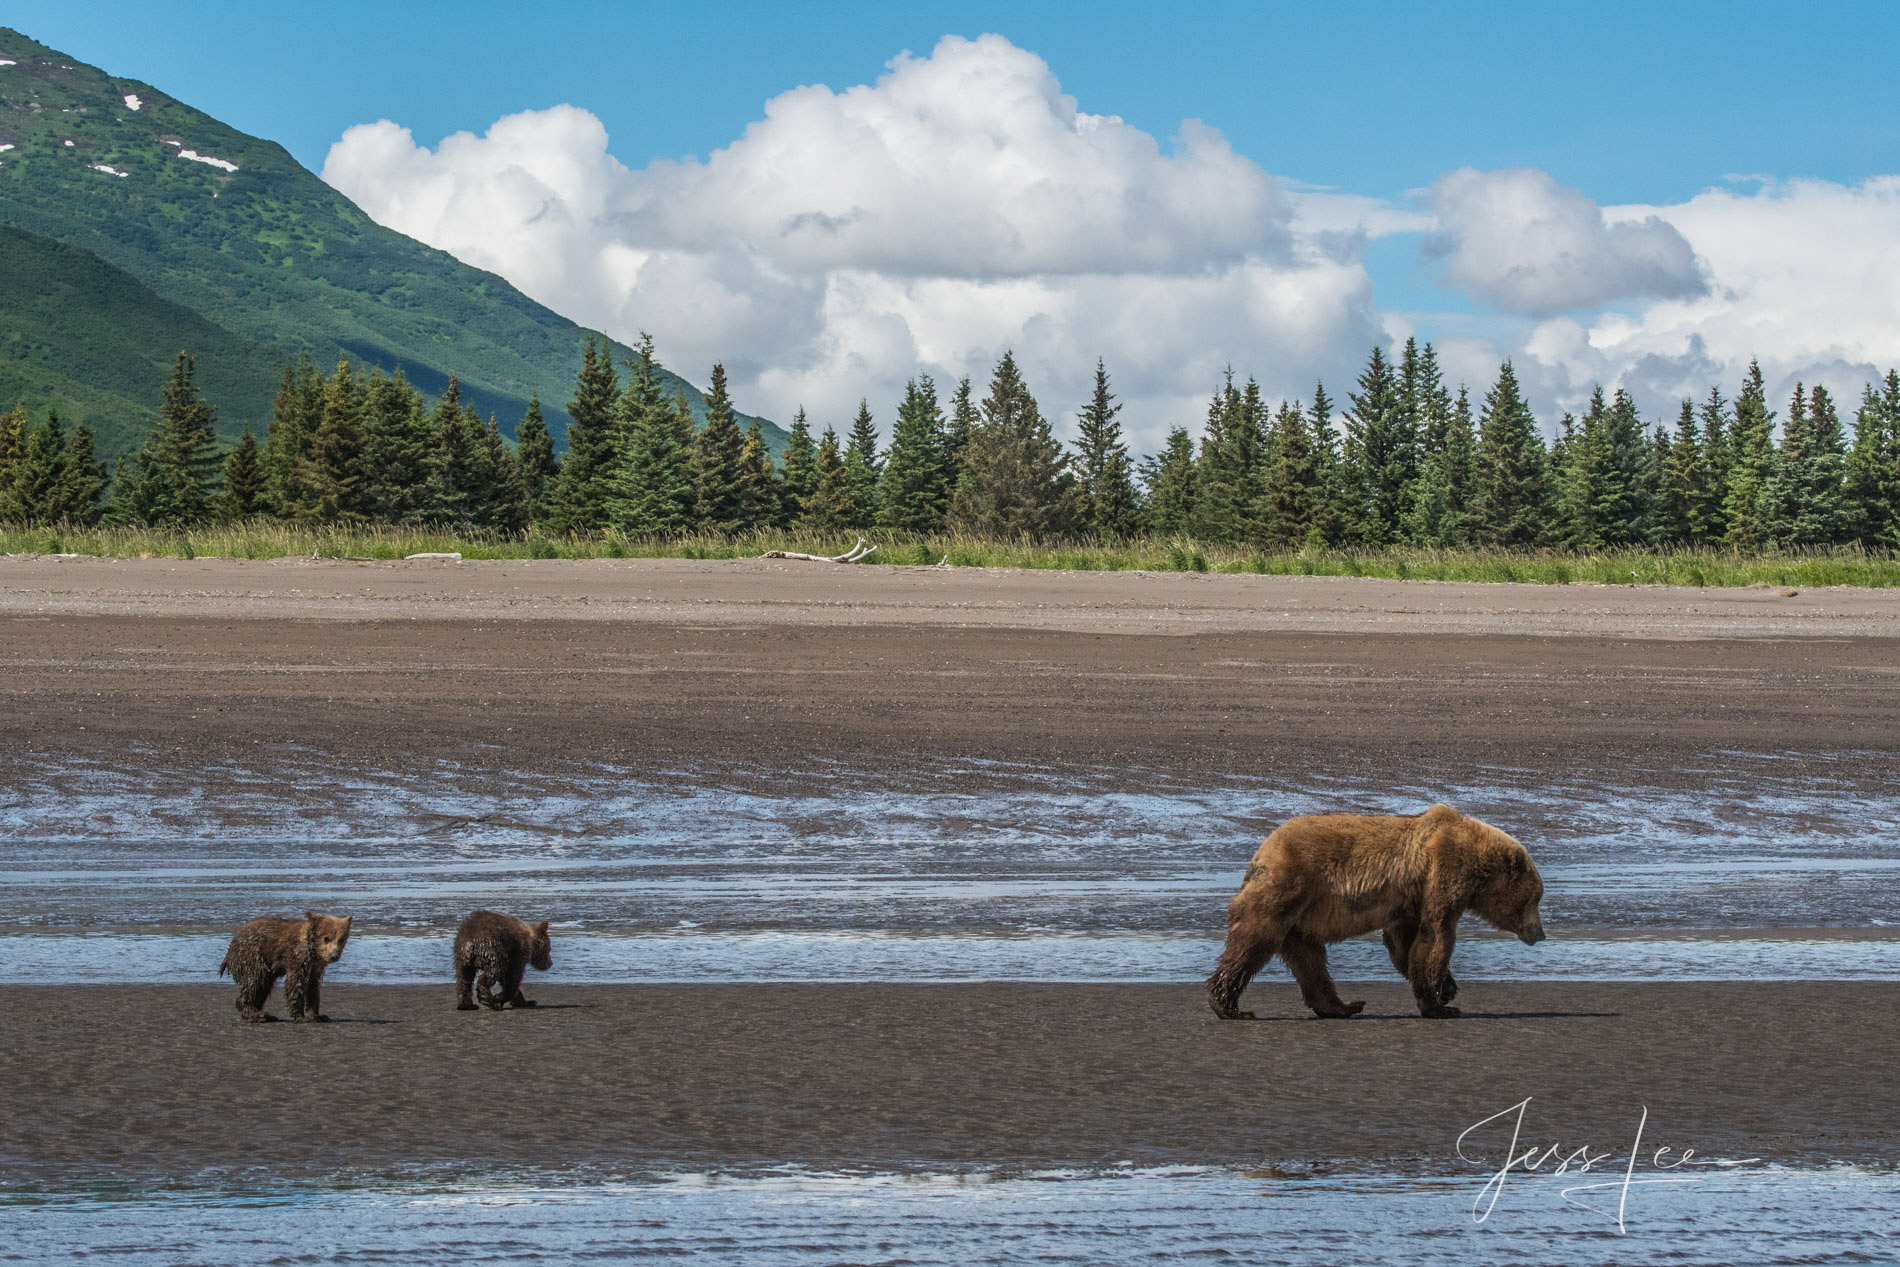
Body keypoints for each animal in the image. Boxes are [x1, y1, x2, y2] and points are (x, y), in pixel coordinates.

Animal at [218, 911, 353, 1018]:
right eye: (326, 938)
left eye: (341, 939)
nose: (334, 955)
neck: (313, 951)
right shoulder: (297, 958)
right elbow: (294, 984)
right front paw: (300, 1016)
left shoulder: (315, 967)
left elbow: (313, 987)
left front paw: (316, 1015)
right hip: (253, 957)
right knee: (255, 982)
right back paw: (255, 1013)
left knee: (264, 986)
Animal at [1208, 809, 1535, 1025]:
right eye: (1535, 900)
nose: (1538, 933)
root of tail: (1261, 852)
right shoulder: (1443, 873)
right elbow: (1436, 936)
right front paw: (1441, 1005)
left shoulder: (1408, 900)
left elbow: (1405, 945)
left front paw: (1447, 991)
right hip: (1287, 888)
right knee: (1255, 940)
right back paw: (1230, 1006)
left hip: (1298, 917)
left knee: (1309, 960)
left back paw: (1343, 1006)